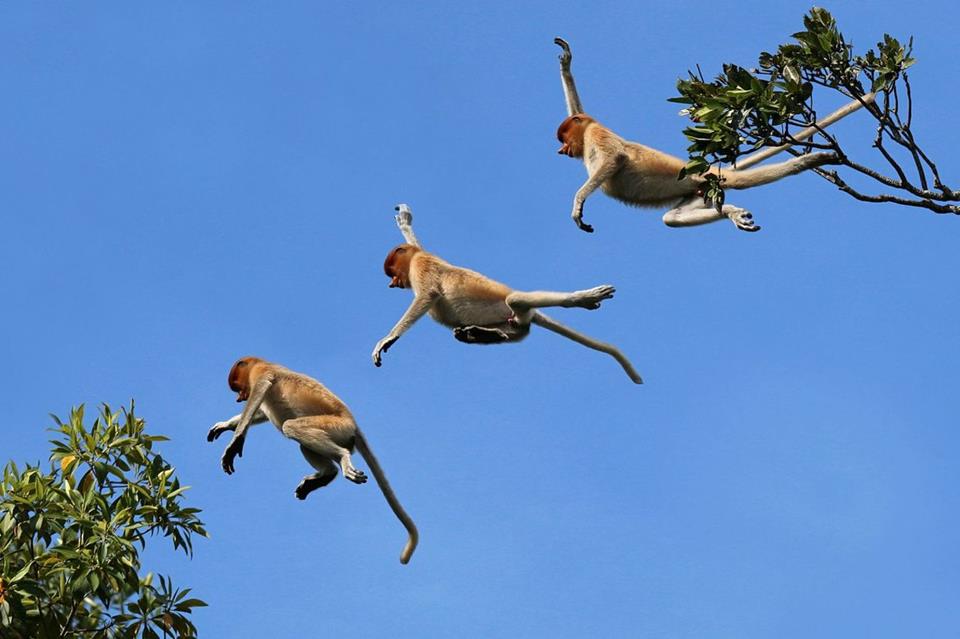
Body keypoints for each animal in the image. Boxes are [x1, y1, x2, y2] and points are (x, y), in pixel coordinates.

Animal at [207, 357, 418, 564]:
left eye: (237, 386)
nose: (239, 398)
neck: (260, 363)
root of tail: (354, 425)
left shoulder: (261, 374)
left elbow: (259, 394)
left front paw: (234, 443)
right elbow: (260, 412)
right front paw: (224, 425)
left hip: (336, 426)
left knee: (290, 427)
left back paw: (342, 459)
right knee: (304, 445)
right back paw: (325, 475)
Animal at [372, 205, 643, 384]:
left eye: (392, 271)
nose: (393, 283)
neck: (414, 258)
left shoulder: (421, 266)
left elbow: (427, 295)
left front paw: (387, 340)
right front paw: (405, 220)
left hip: (510, 306)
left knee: (516, 301)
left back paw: (584, 299)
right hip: (511, 322)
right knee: (516, 331)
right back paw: (477, 334)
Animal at [553, 37, 841, 233]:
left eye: (564, 138)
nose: (562, 150)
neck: (586, 134)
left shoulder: (596, 133)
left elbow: (614, 159)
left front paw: (578, 205)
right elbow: (578, 107)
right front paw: (566, 63)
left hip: (705, 179)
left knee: (742, 181)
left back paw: (811, 161)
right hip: (698, 191)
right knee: (672, 219)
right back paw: (732, 213)